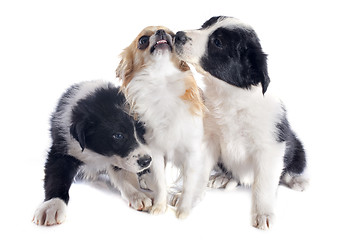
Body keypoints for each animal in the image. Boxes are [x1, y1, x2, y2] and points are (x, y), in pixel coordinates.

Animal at [34, 81, 152, 226]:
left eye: (142, 130)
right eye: (118, 135)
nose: (146, 161)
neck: (97, 154)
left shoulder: (119, 158)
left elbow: (125, 175)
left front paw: (138, 195)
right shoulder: (61, 150)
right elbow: (57, 177)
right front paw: (52, 205)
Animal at [115, 26, 207, 219]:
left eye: (172, 35)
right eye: (142, 40)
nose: (161, 32)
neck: (162, 83)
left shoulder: (193, 152)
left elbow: (189, 184)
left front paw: (184, 209)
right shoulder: (155, 153)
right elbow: (160, 182)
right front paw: (159, 206)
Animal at [175, 15, 310, 230]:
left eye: (218, 42)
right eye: (204, 26)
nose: (178, 35)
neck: (230, 98)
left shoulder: (270, 147)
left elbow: (264, 184)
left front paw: (263, 213)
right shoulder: (209, 139)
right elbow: (199, 172)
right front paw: (187, 199)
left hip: (297, 146)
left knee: (288, 170)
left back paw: (297, 181)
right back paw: (224, 177)